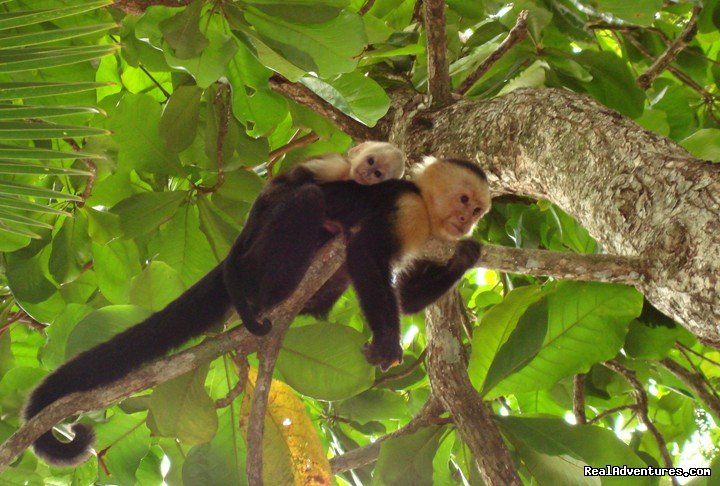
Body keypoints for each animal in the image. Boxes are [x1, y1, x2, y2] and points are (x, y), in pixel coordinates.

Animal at [25, 156, 492, 468]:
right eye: (464, 198)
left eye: (478, 209)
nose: (468, 220)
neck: (426, 212)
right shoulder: (405, 210)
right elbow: (364, 254)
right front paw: (388, 342)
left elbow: (407, 298)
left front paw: (468, 254)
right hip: (260, 252)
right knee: (307, 203)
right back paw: (272, 291)